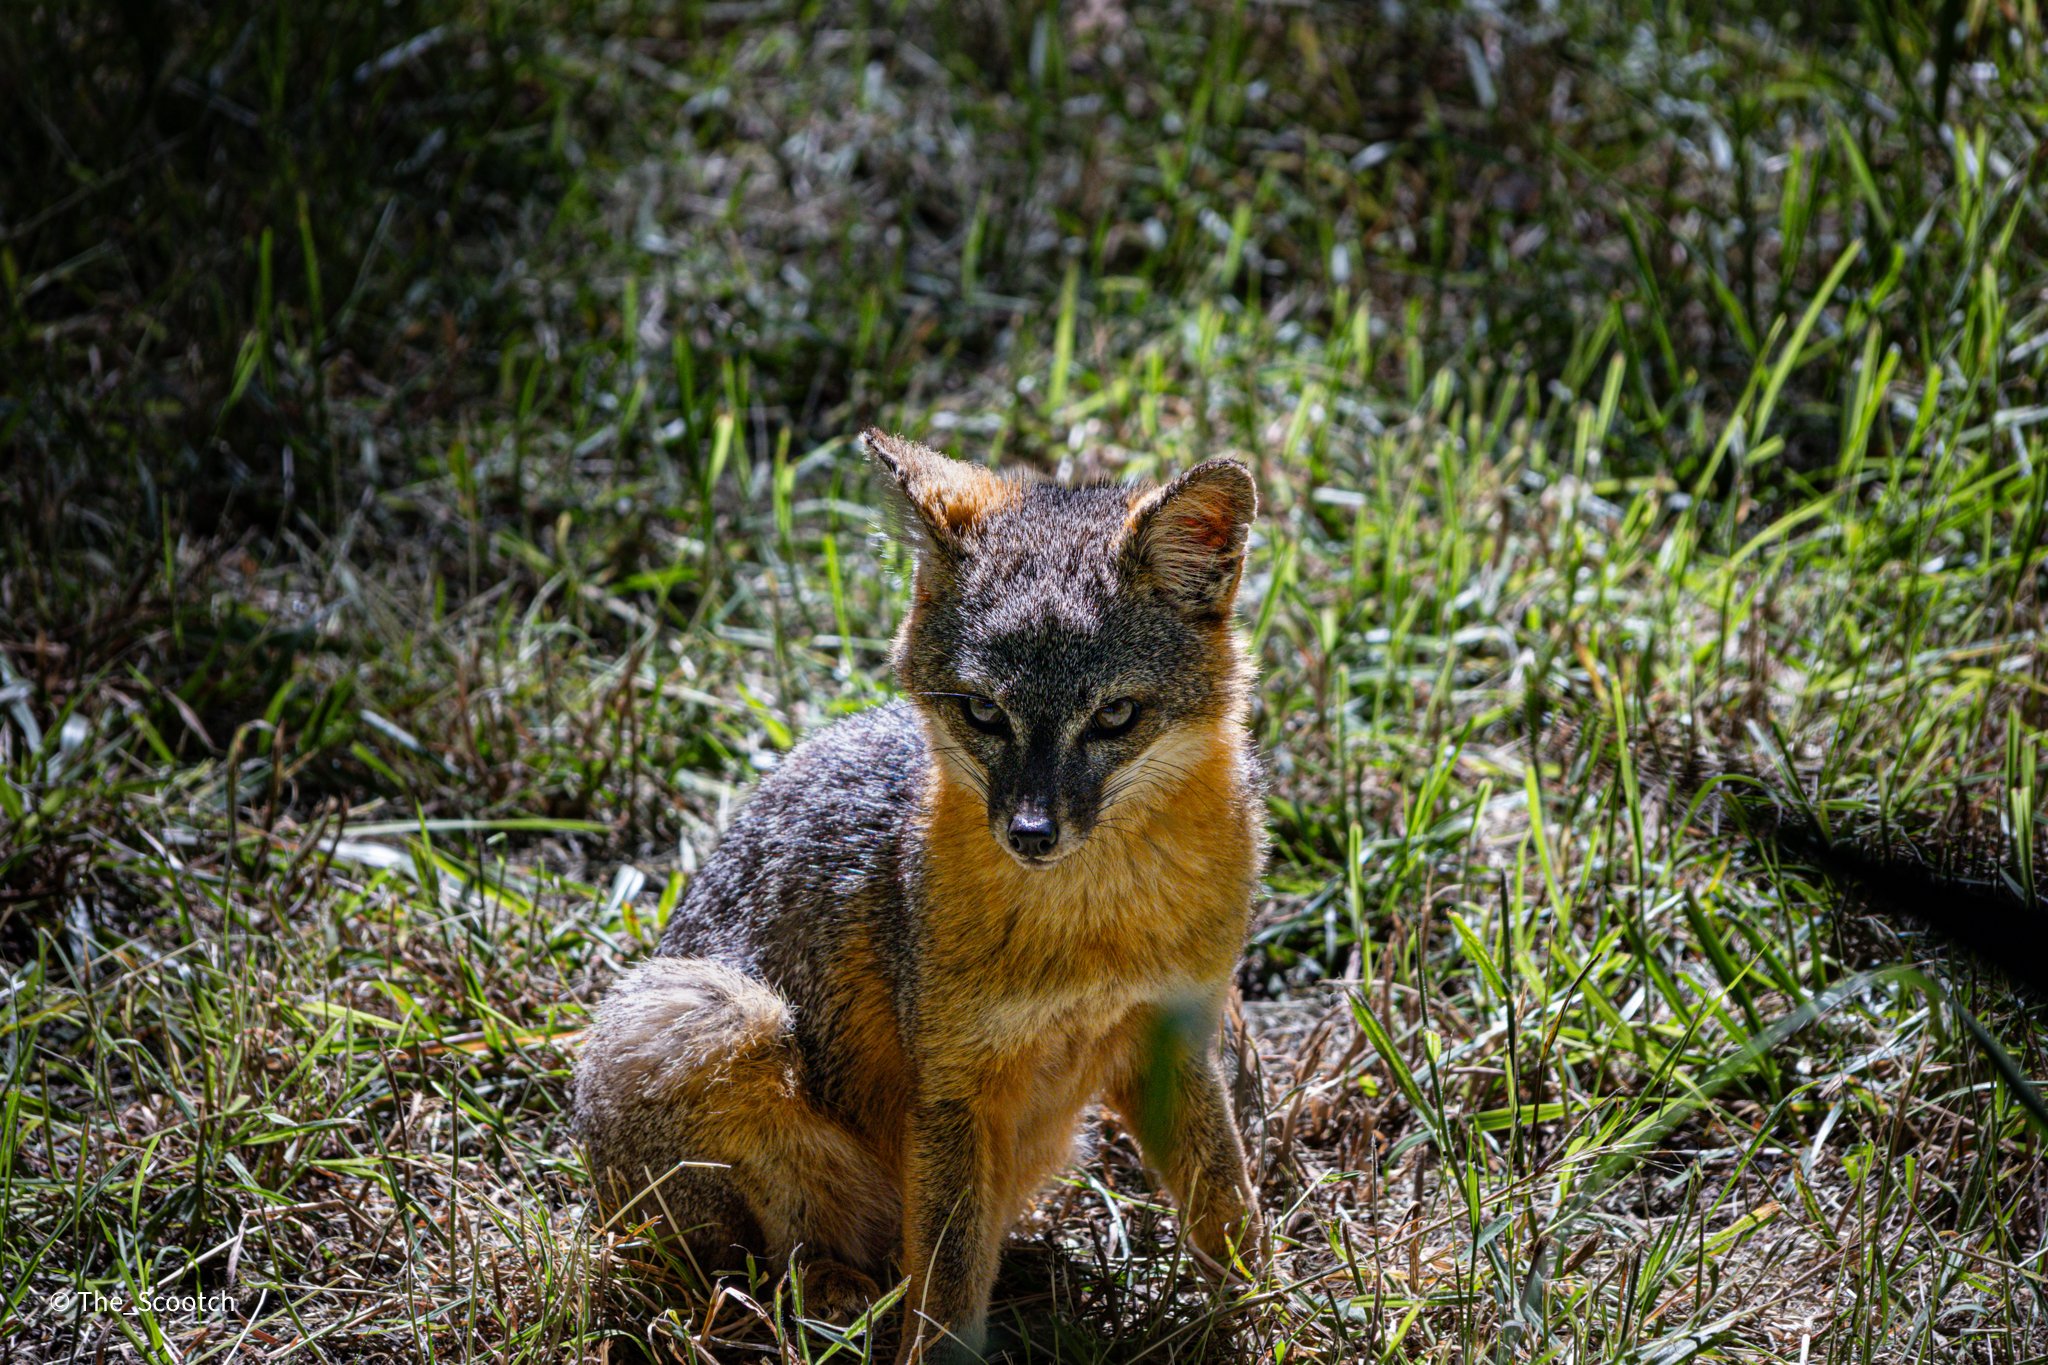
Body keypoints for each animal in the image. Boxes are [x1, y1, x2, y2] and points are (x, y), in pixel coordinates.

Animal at [573, 428, 1266, 1361]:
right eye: (982, 711)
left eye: (1116, 715)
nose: (1031, 832)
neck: (1093, 935)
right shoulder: (953, 1085)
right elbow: (944, 1280)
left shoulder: (1174, 1035)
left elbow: (1227, 1202)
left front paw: (1271, 1312)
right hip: (720, 1018)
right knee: (765, 1264)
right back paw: (826, 1290)